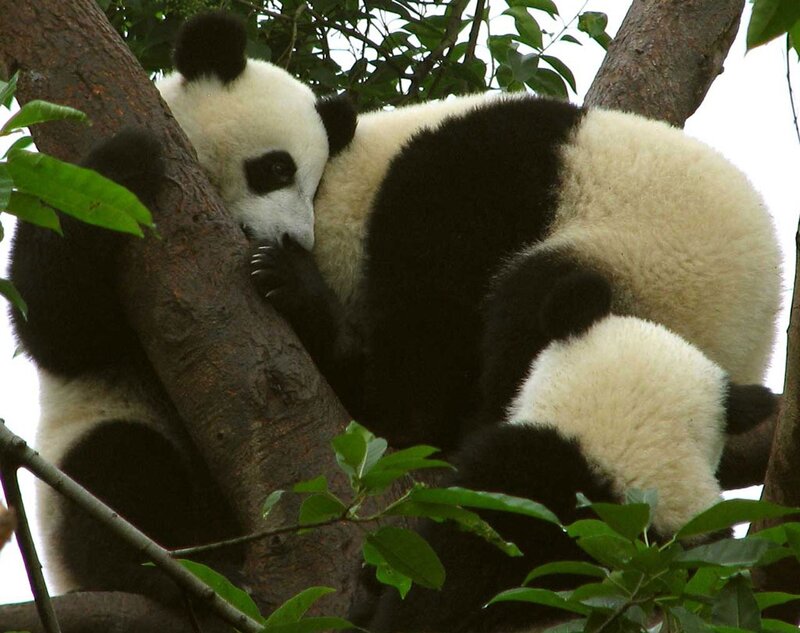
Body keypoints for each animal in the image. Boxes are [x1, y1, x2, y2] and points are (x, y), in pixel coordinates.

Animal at [8, 12, 354, 600]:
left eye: (318, 187)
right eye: (277, 168)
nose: (296, 241)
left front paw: (287, 278)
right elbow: (59, 328)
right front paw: (127, 158)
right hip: (92, 443)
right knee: (120, 470)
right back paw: (164, 572)